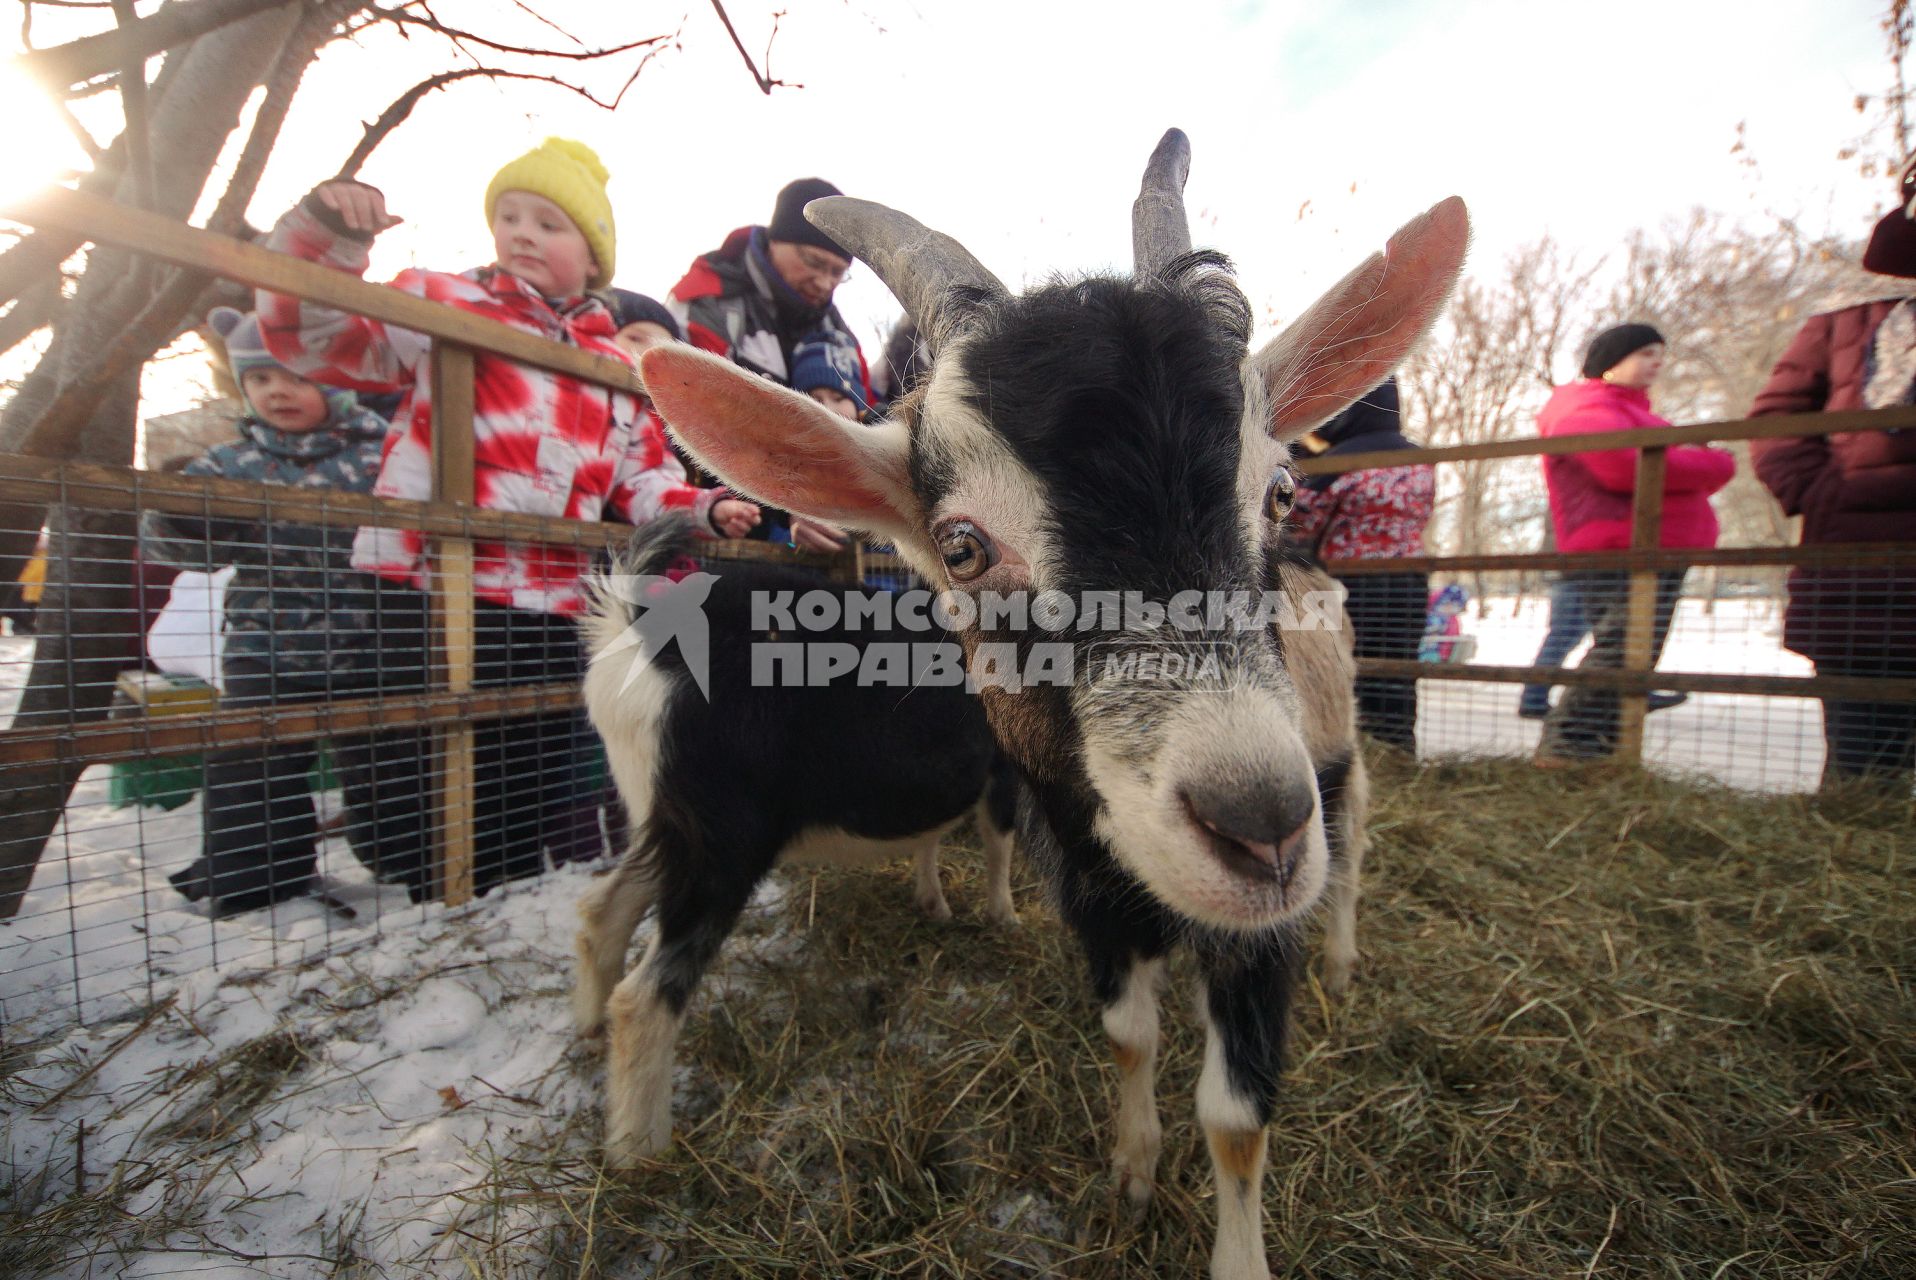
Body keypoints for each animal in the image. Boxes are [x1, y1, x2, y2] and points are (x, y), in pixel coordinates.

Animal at [605, 132, 1456, 1280]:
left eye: (1275, 491)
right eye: (961, 546)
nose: (1258, 825)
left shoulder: (1258, 917)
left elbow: (1237, 1115)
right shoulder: (1088, 874)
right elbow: (1129, 1034)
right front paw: (1132, 1174)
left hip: (1342, 768)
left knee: (1356, 856)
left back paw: (1344, 960)